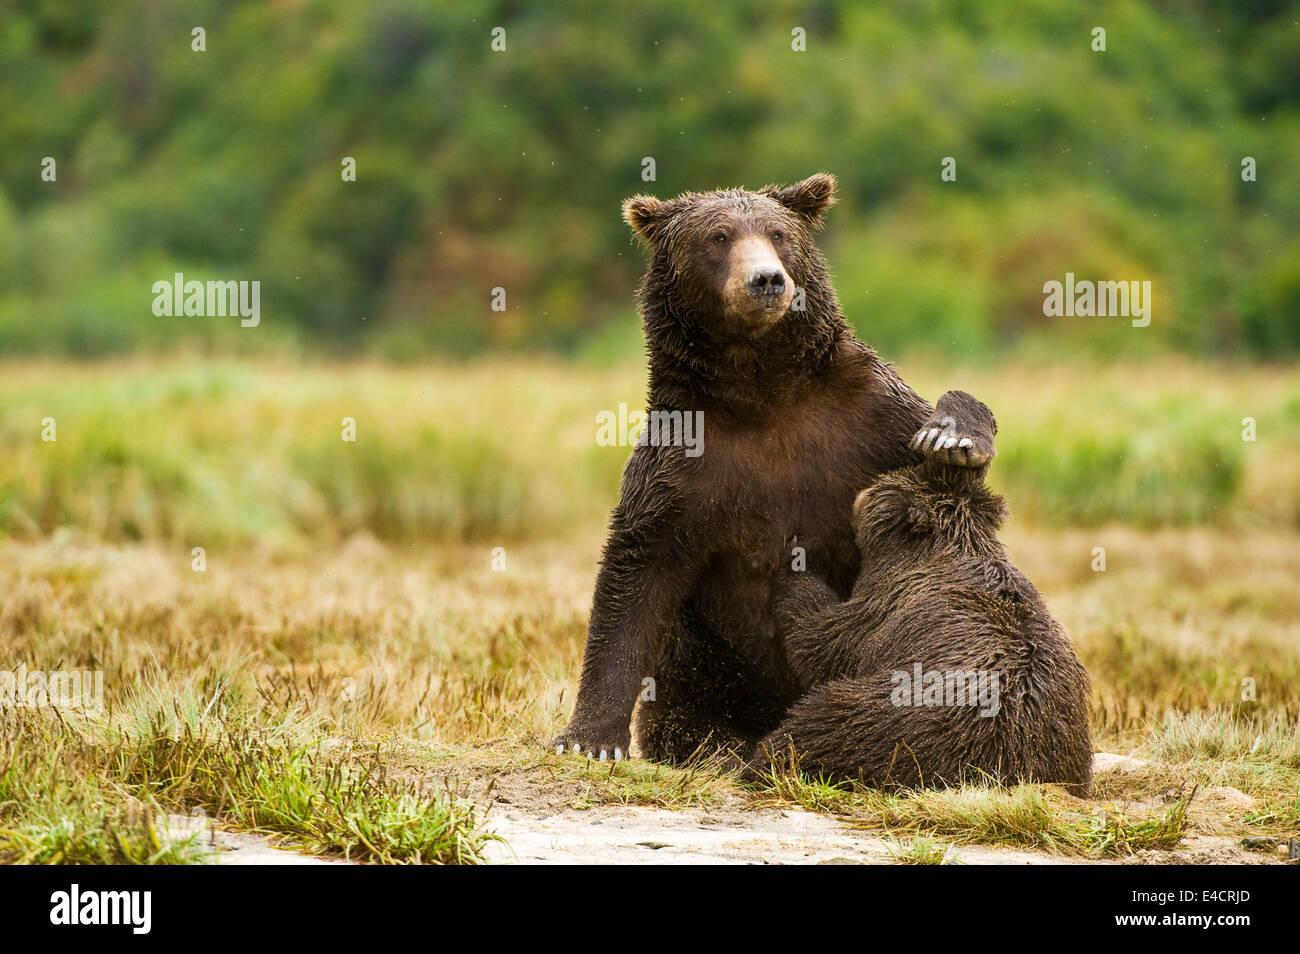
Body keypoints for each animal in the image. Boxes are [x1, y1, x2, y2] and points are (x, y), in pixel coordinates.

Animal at [551, 174, 998, 764]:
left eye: (778, 233)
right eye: (718, 236)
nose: (766, 279)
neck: (761, 391)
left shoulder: (864, 418)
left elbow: (937, 473)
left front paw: (953, 436)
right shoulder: (682, 461)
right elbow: (636, 573)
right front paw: (590, 739)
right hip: (702, 674)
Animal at [746, 390, 1094, 796]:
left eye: (886, 481)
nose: (859, 495)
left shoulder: (881, 609)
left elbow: (820, 641)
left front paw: (798, 552)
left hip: (907, 715)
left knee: (826, 720)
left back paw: (756, 759)